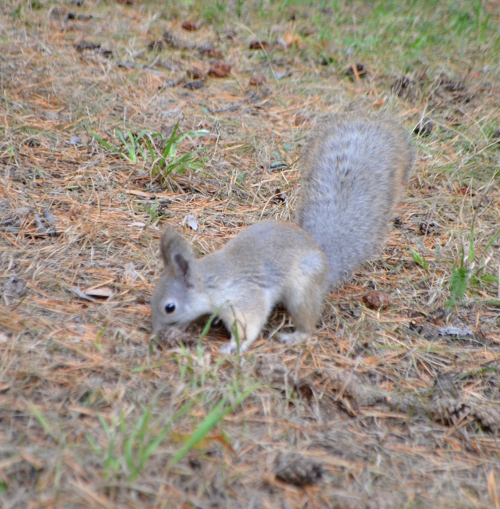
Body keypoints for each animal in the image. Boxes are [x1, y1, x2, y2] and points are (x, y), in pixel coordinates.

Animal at [149, 112, 414, 354]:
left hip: (302, 289)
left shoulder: (246, 298)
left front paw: (235, 345)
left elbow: (250, 324)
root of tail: (325, 261)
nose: (155, 331)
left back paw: (297, 336)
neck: (211, 280)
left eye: (169, 307)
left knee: (308, 321)